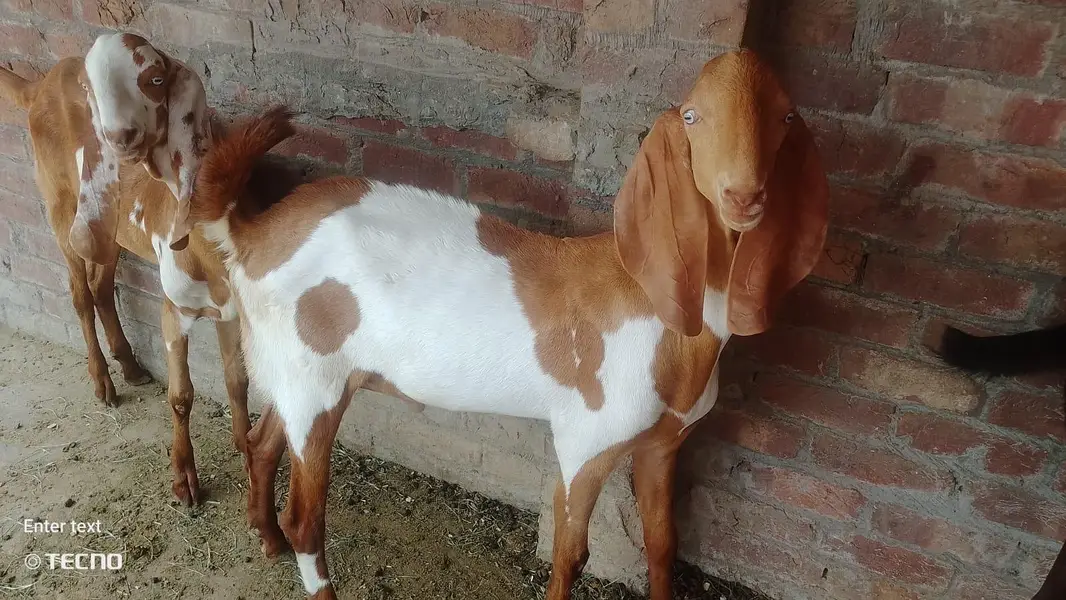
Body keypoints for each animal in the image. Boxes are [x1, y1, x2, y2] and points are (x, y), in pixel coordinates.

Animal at [0, 32, 255, 506]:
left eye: (155, 78)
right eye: (93, 90)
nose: (118, 137)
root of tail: (40, 84)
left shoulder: (229, 308)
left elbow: (237, 382)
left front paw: (248, 452)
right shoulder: (173, 310)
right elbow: (181, 395)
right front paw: (184, 478)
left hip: (107, 230)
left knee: (101, 285)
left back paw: (131, 366)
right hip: (61, 205)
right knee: (79, 291)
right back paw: (102, 381)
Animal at [188, 49, 829, 600]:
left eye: (786, 115)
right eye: (692, 116)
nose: (744, 196)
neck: (660, 308)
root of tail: (252, 233)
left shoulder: (663, 445)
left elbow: (662, 545)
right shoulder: (585, 440)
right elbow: (572, 555)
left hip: (296, 369)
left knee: (262, 444)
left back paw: (266, 539)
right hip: (313, 377)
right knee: (306, 517)